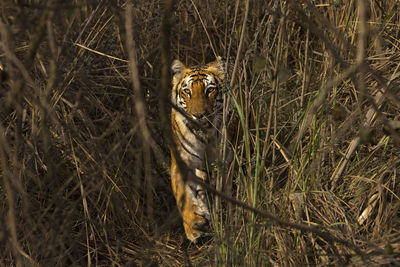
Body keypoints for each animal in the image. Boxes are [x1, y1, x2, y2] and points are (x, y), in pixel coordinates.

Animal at [169, 56, 225, 243]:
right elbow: (183, 195)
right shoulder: (182, 162)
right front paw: (194, 224)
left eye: (210, 90)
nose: (199, 115)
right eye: (187, 91)